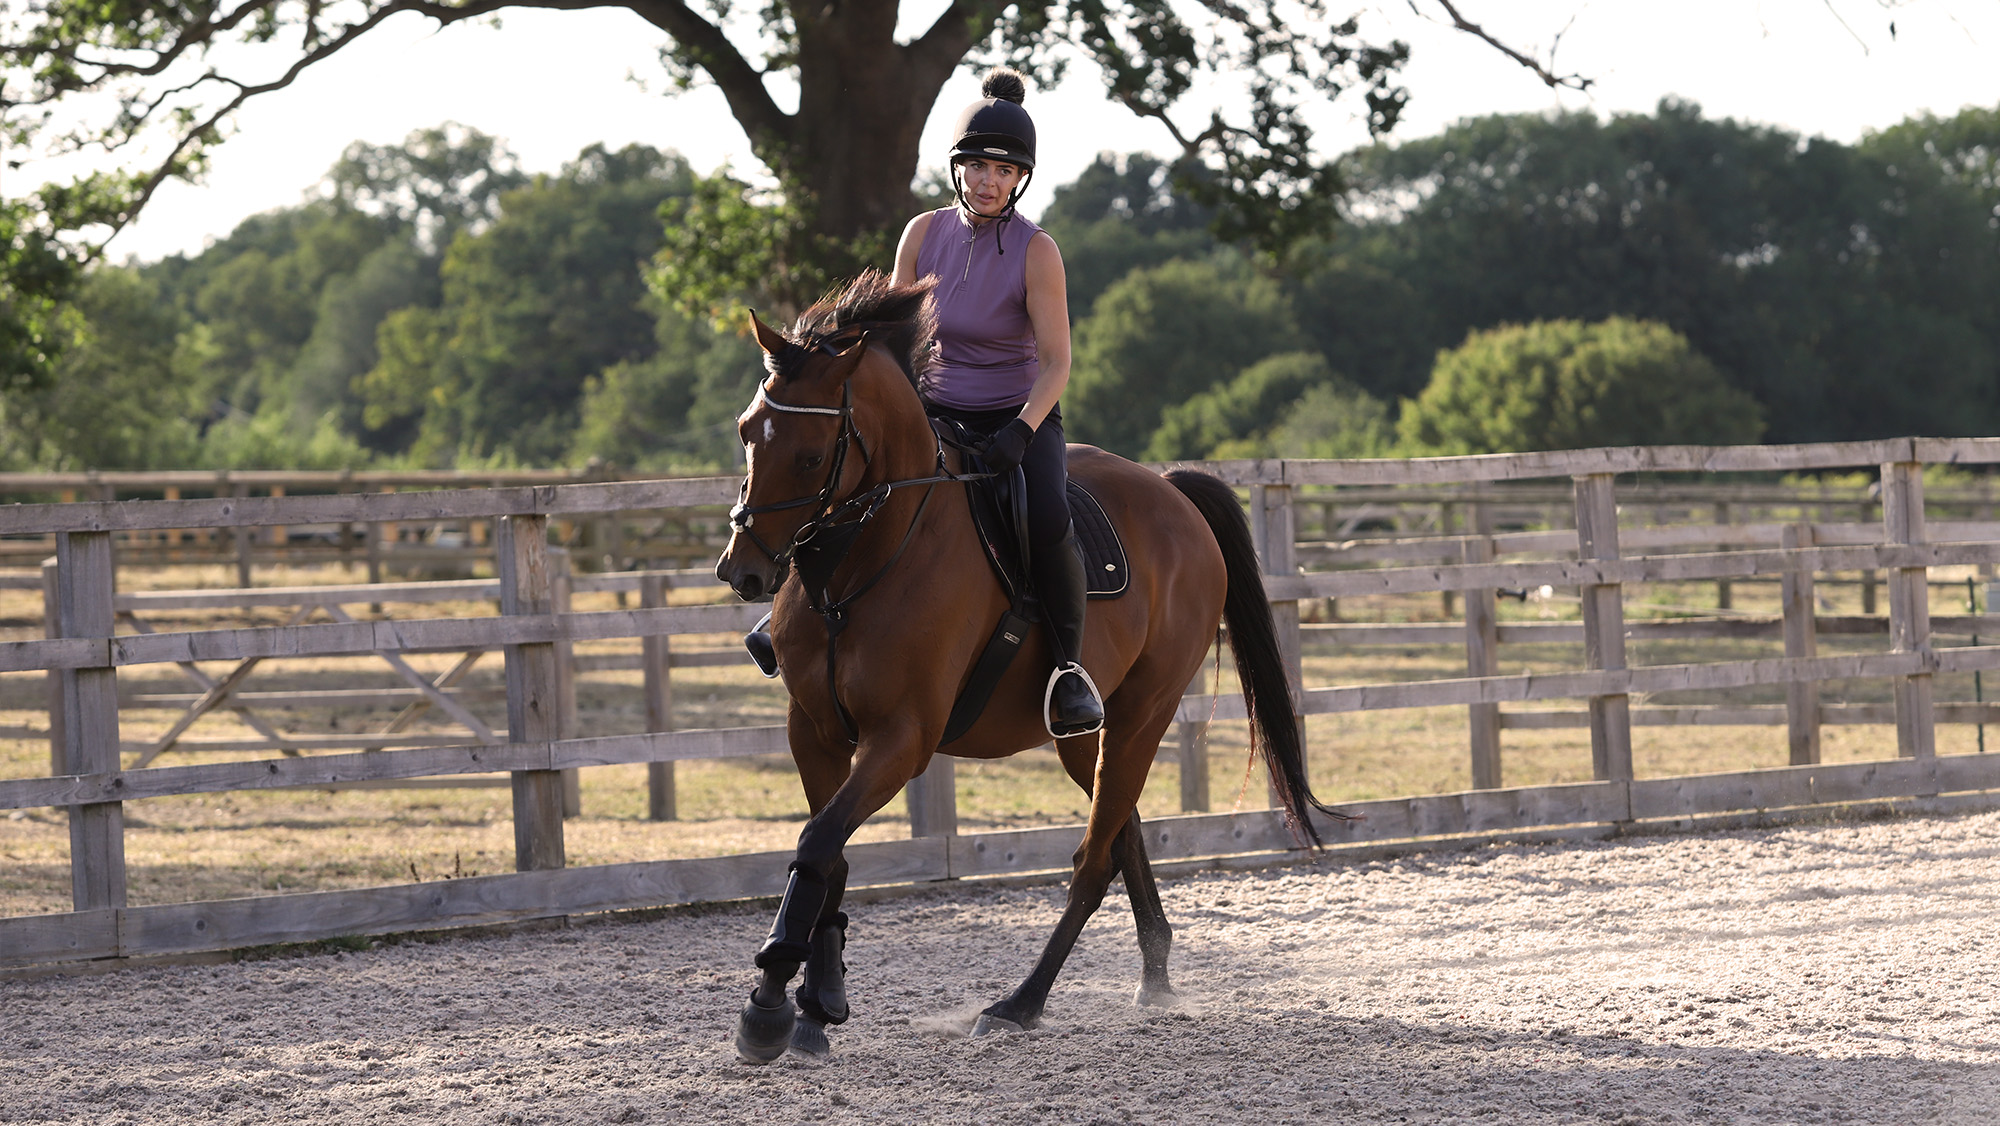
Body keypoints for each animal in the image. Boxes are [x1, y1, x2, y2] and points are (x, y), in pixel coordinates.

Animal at [714, 269, 1340, 1063]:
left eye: (809, 452)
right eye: (746, 433)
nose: (742, 571)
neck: (861, 566)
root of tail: (1172, 493)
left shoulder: (902, 739)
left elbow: (818, 842)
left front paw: (768, 1004)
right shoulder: (815, 732)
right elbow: (830, 856)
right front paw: (818, 1004)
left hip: (1141, 715)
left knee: (1094, 860)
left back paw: (1021, 1003)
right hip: (1083, 737)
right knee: (1123, 832)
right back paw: (1155, 978)